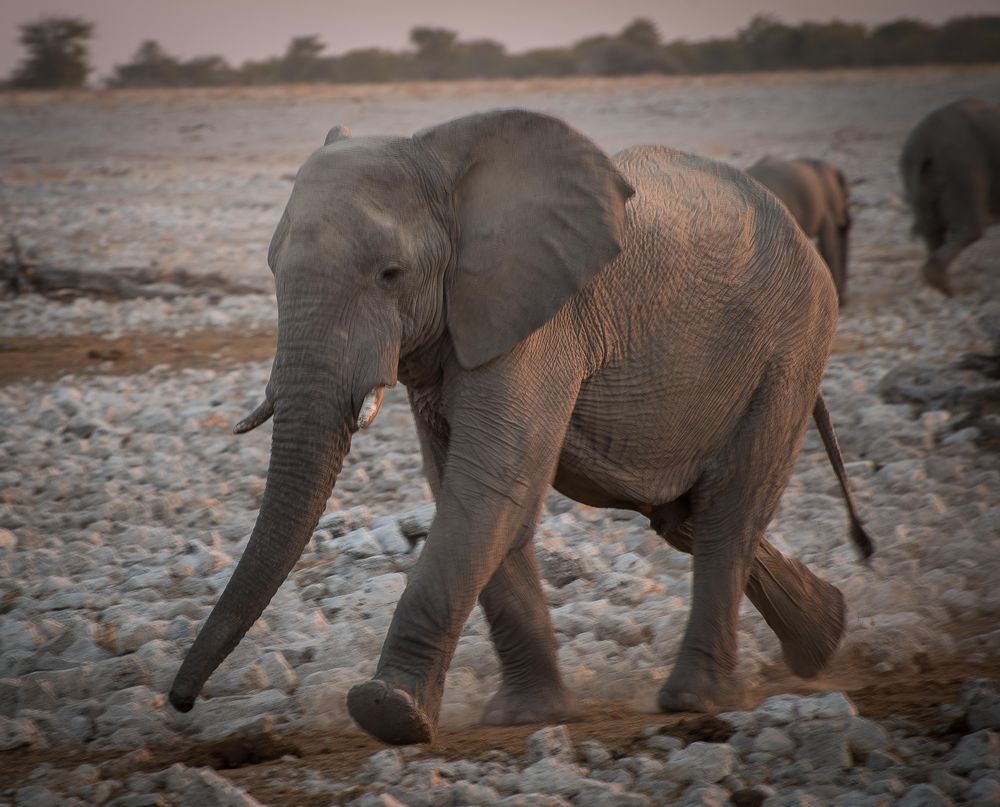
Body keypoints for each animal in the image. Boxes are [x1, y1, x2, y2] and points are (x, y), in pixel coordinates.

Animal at [900, 96, 1000, 296]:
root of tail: (925, 141)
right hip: (962, 167)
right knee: (969, 230)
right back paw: (953, 290)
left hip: (914, 172)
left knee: (932, 232)